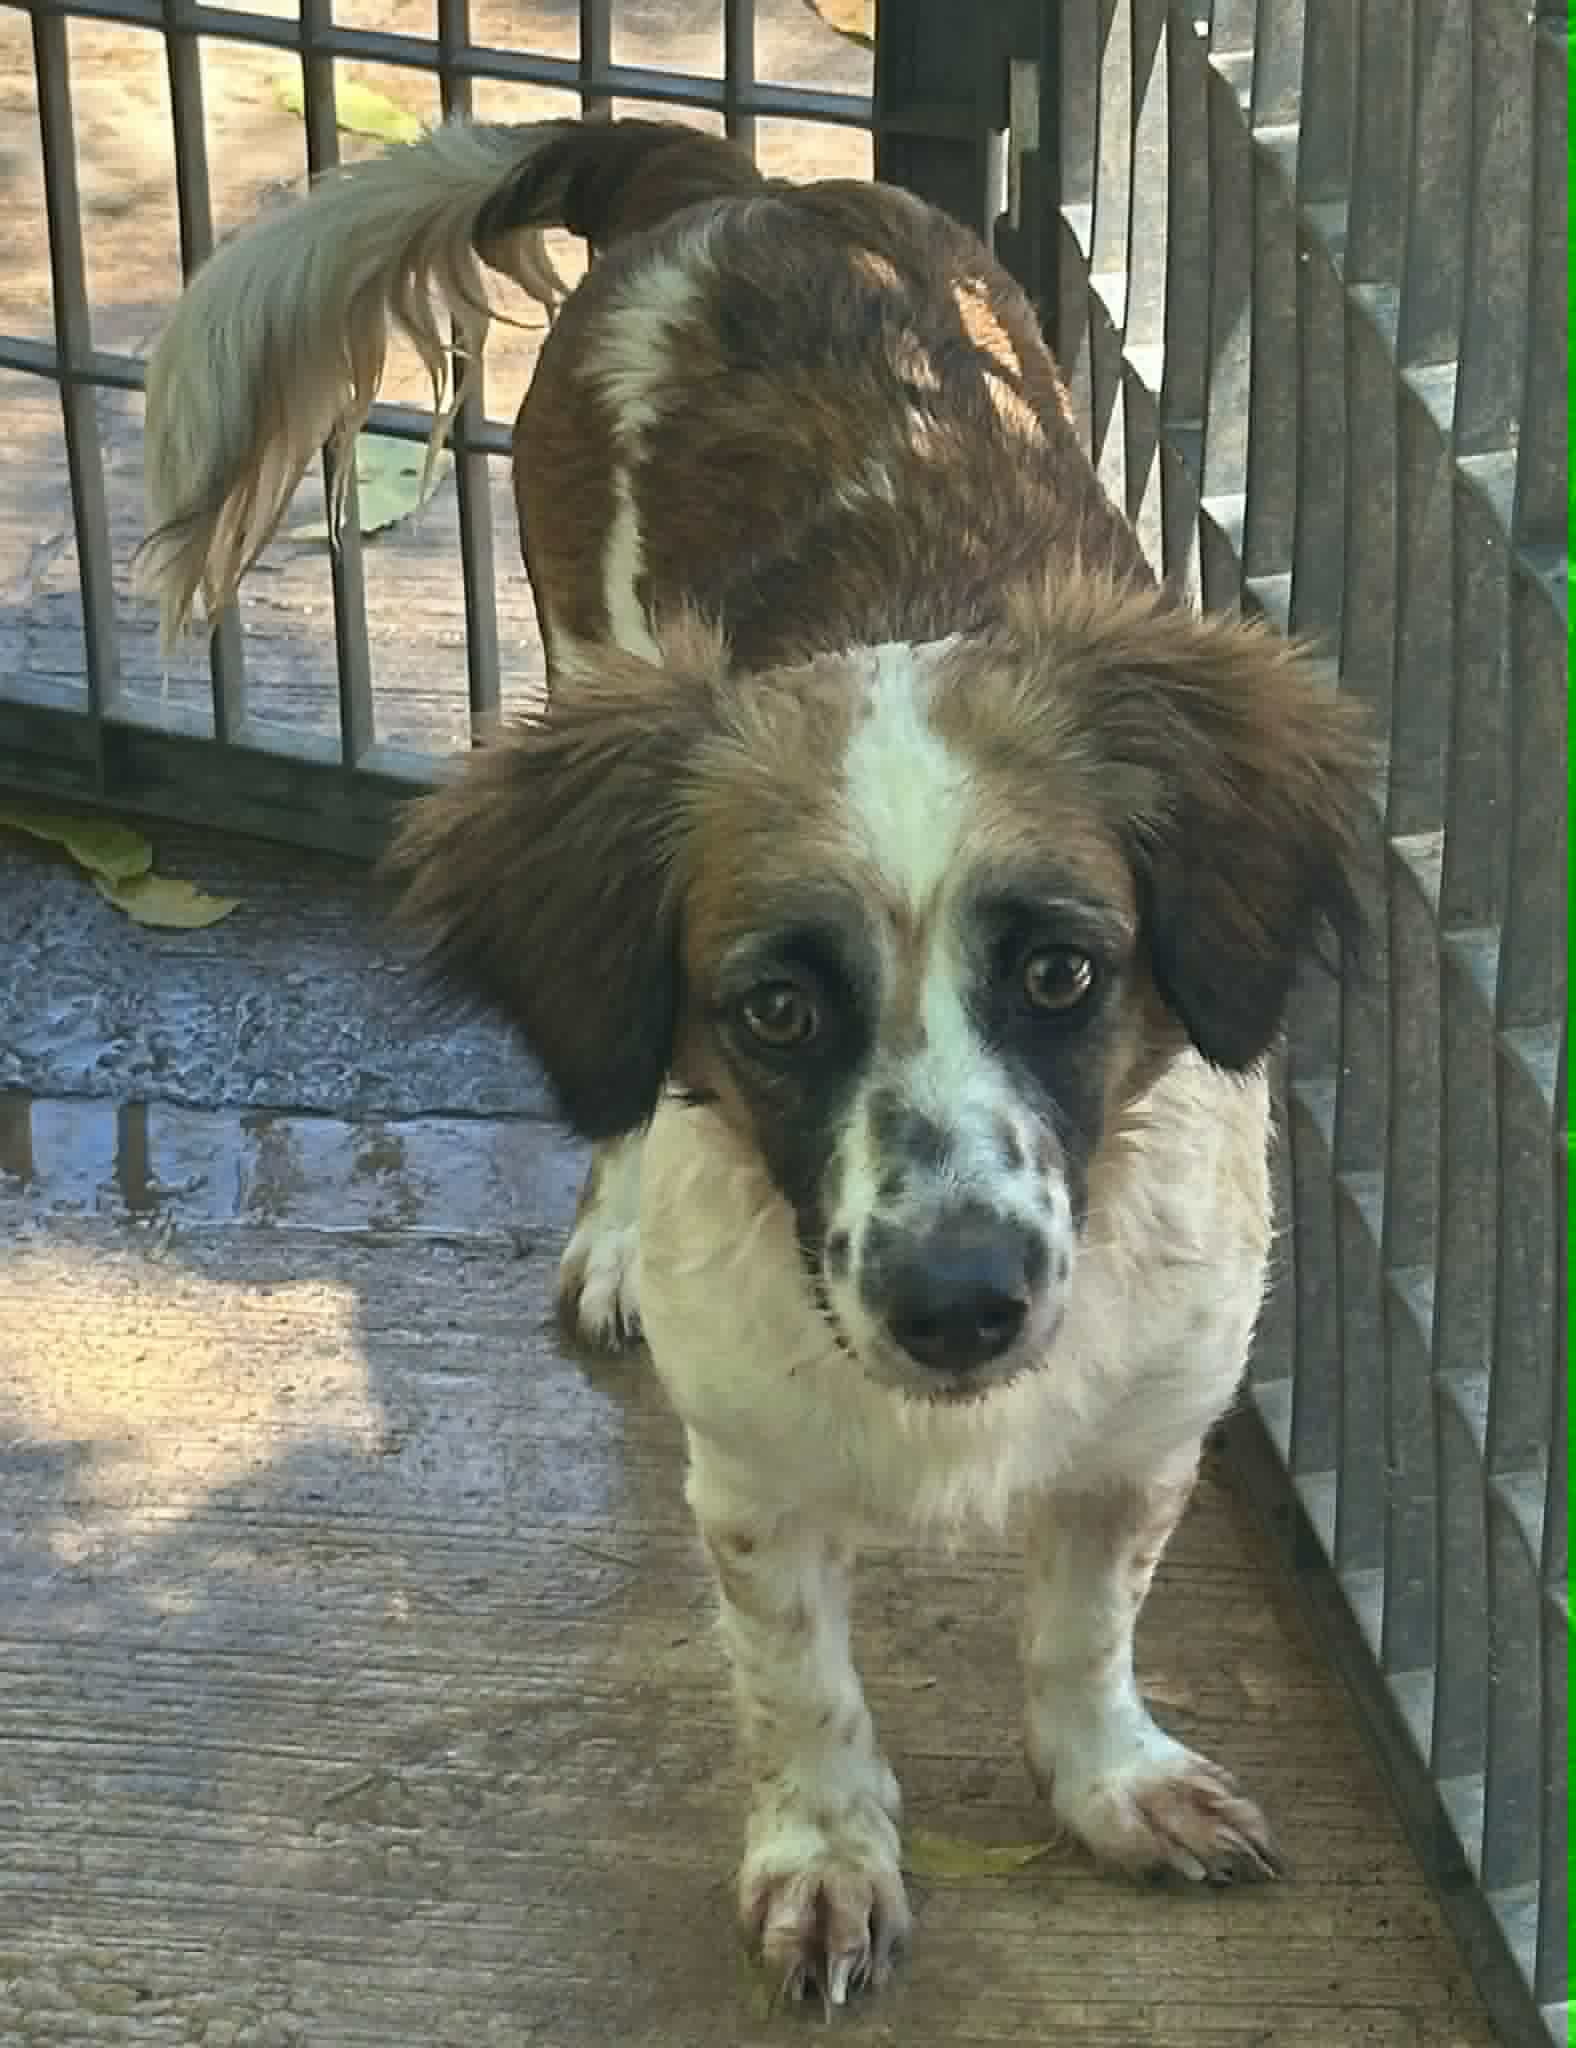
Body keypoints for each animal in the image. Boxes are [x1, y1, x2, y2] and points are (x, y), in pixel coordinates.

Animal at [139, 116, 1367, 2008]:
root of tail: (728, 185)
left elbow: (1085, 1634)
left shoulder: (1139, 1438)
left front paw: (1108, 1782)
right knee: (612, 1092)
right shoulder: (756, 1487)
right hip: (587, 649)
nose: (960, 1305)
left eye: (1063, 972)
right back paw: (616, 1236)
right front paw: (829, 1858)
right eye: (776, 1011)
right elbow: (806, 1691)